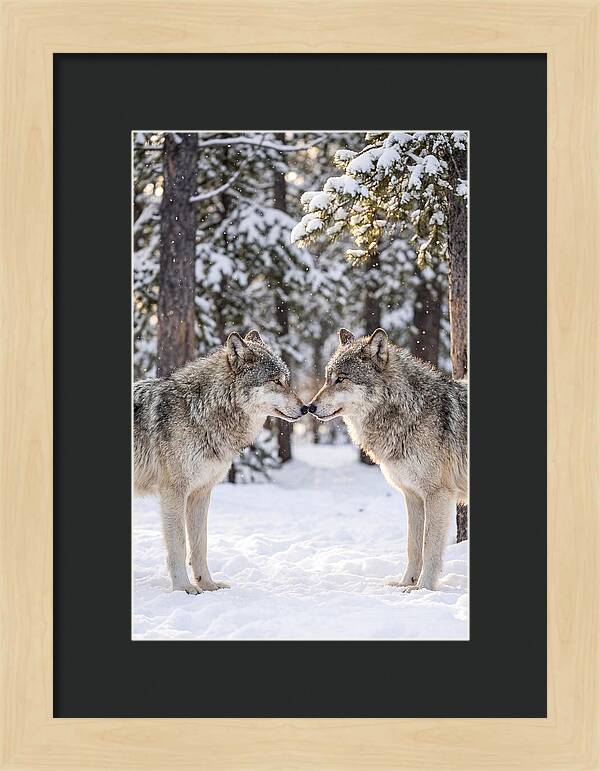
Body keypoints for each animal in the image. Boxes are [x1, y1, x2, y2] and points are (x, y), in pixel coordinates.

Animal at [134, 330, 306, 594]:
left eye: (287, 380)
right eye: (276, 381)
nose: (306, 408)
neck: (199, 411)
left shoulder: (201, 492)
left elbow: (200, 544)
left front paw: (208, 584)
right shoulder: (174, 492)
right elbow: (179, 545)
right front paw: (184, 588)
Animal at [308, 327, 468, 591]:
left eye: (341, 379)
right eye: (327, 378)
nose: (309, 407)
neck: (410, 411)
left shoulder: (438, 494)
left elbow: (429, 547)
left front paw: (423, 588)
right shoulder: (412, 496)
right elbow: (413, 546)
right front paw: (405, 583)